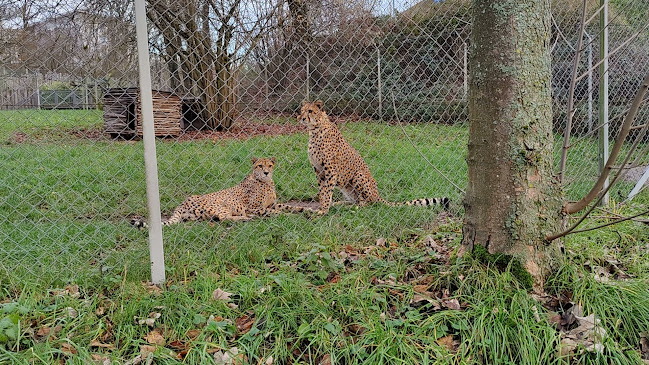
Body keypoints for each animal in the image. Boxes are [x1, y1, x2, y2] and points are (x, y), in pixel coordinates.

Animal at [130, 156, 288, 228]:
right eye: (260, 165)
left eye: (270, 165)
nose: (266, 172)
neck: (265, 182)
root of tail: (184, 202)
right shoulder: (254, 207)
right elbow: (273, 211)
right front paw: (285, 215)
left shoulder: (271, 204)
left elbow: (286, 206)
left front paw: (292, 211)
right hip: (222, 206)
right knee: (224, 218)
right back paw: (245, 218)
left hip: (197, 216)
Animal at [298, 99, 446, 213]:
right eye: (302, 110)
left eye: (310, 111)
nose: (301, 118)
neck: (314, 130)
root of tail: (377, 194)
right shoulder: (318, 169)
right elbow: (322, 191)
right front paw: (323, 206)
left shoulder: (330, 170)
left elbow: (327, 190)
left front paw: (323, 210)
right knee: (355, 200)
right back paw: (339, 204)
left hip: (359, 175)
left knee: (366, 203)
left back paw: (351, 207)